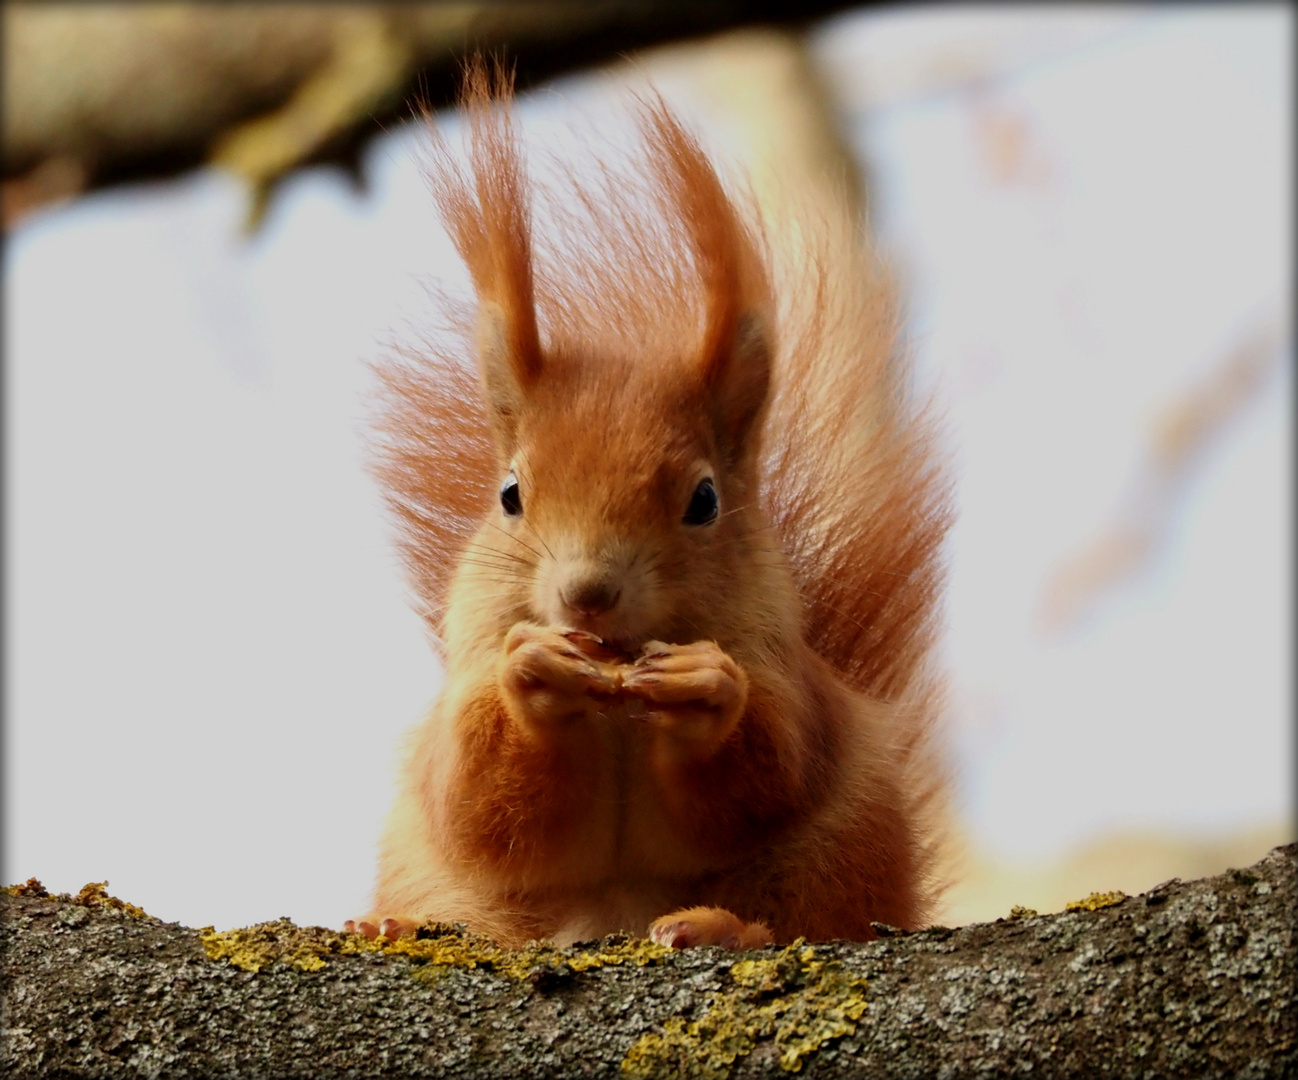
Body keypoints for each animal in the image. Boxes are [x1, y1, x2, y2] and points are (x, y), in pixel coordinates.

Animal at [347, 63, 955, 950]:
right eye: (510, 495)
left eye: (704, 500)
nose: (587, 594)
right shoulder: (459, 708)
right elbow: (474, 799)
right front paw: (533, 672)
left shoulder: (794, 686)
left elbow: (772, 768)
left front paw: (705, 688)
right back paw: (395, 926)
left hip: (846, 849)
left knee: (810, 916)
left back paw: (723, 928)